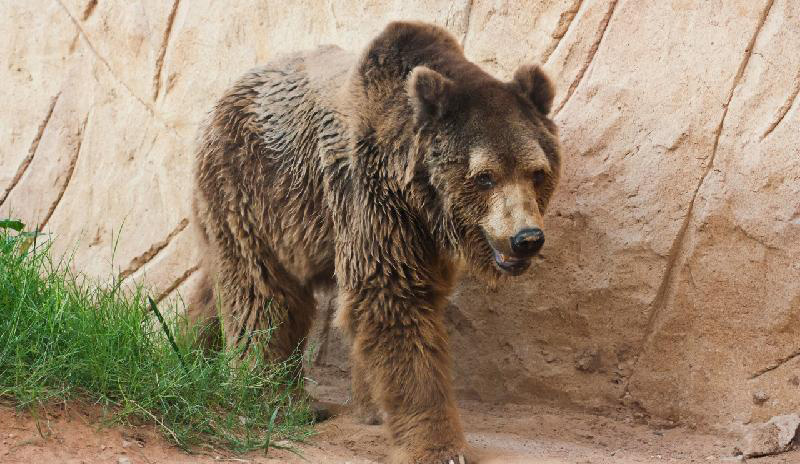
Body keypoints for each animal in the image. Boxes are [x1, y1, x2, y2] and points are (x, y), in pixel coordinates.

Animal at [190, 20, 560, 464]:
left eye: (537, 172)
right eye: (485, 176)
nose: (526, 238)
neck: (416, 188)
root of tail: (219, 101)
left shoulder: (425, 236)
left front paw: (373, 408)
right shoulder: (370, 198)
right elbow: (393, 300)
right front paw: (438, 445)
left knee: (216, 281)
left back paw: (191, 347)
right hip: (253, 187)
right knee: (261, 292)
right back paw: (272, 394)